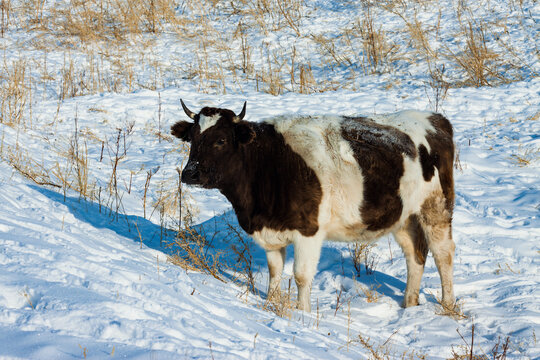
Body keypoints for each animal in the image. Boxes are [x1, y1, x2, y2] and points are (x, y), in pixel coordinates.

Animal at [173, 99, 456, 312]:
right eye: (192, 139)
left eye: (220, 140)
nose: (190, 173)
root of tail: (434, 118)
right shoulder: (271, 231)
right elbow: (275, 271)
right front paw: (272, 304)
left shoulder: (308, 231)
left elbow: (300, 275)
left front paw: (303, 314)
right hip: (404, 217)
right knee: (415, 254)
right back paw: (409, 304)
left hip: (436, 207)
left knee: (443, 254)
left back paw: (448, 306)